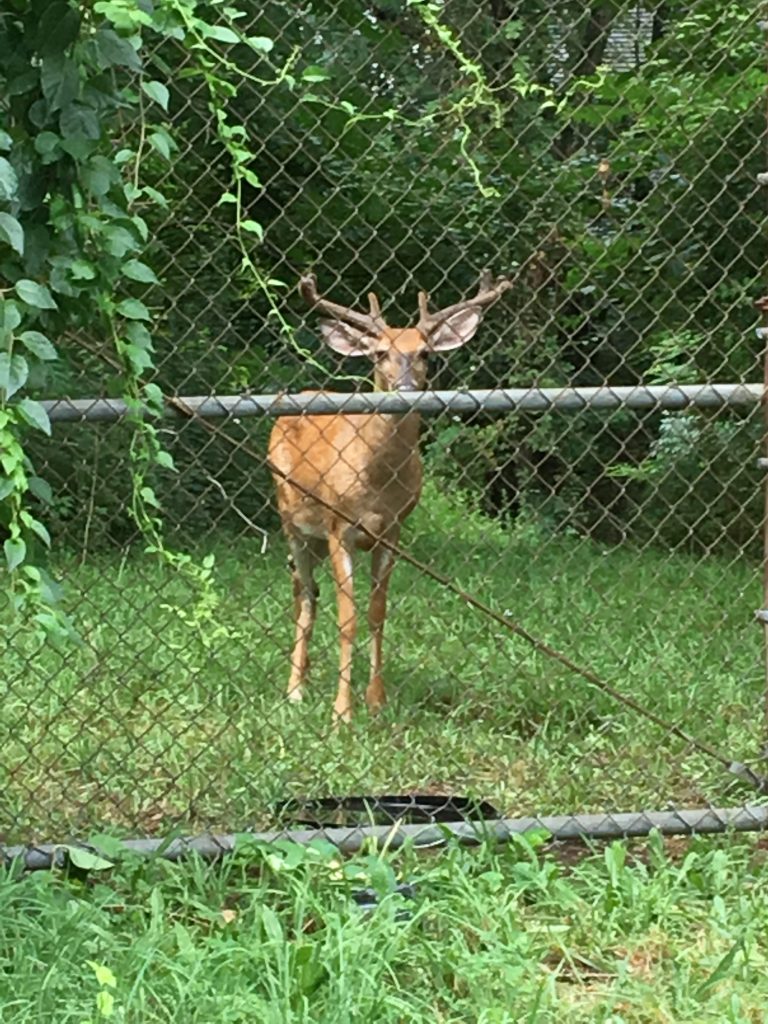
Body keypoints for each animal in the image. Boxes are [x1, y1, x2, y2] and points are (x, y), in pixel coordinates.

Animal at [268, 268, 514, 724]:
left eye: (426, 354)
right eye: (380, 353)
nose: (405, 387)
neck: (377, 481)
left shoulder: (393, 530)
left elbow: (377, 613)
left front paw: (376, 702)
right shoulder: (339, 527)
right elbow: (347, 619)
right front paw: (342, 713)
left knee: (310, 594)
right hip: (291, 520)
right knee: (303, 596)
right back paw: (294, 690)